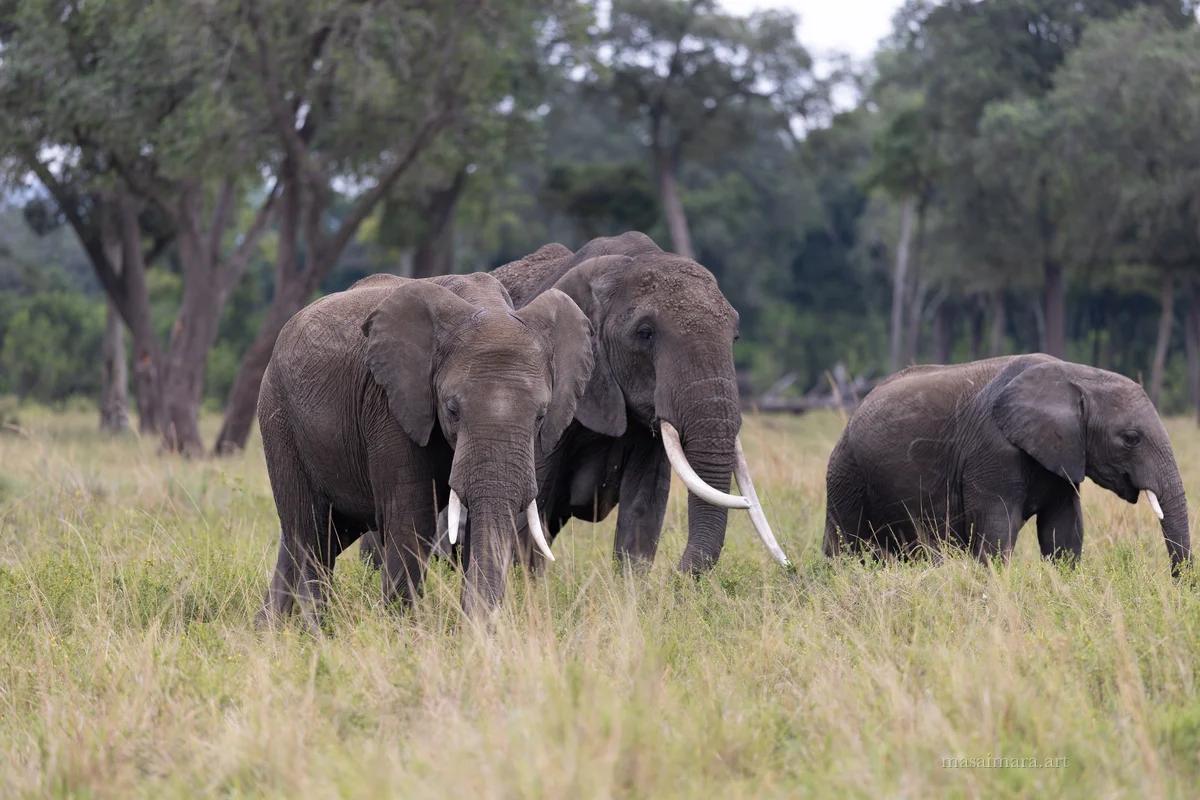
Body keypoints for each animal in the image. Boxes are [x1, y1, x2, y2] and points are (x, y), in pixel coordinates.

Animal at [256, 271, 593, 630]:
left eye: (541, 415)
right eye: (452, 409)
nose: (481, 632)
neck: (486, 306)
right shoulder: (390, 402)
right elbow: (413, 517)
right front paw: (403, 633)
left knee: (317, 538)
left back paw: (268, 630)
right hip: (279, 416)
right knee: (309, 533)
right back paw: (313, 633)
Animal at [823, 353, 1192, 575]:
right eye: (1131, 438)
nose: (1179, 583)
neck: (1078, 376)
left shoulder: (1062, 455)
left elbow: (1063, 532)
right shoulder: (993, 452)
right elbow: (996, 532)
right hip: (845, 474)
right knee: (843, 544)